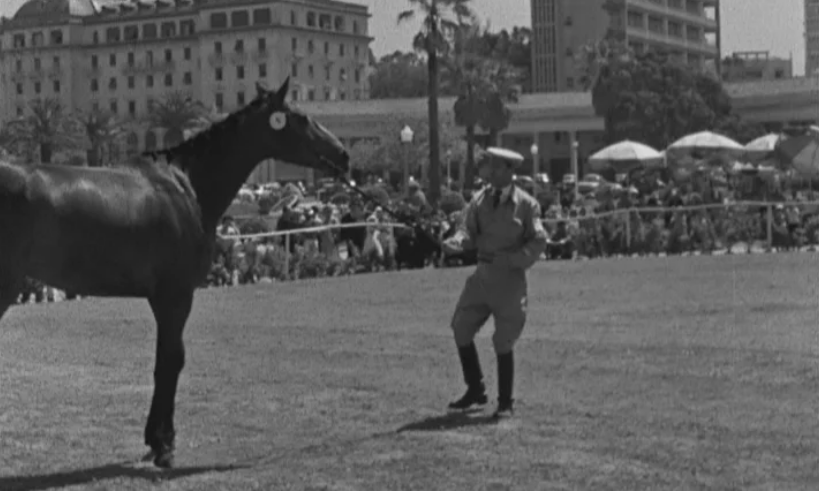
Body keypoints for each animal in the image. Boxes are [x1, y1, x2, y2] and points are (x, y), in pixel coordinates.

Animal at [0, 78, 349, 468]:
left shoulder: (161, 297)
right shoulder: (176, 294)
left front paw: (155, 440)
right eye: (301, 117)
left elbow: (162, 360)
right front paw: (163, 444)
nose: (343, 154)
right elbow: (172, 360)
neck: (187, 185)